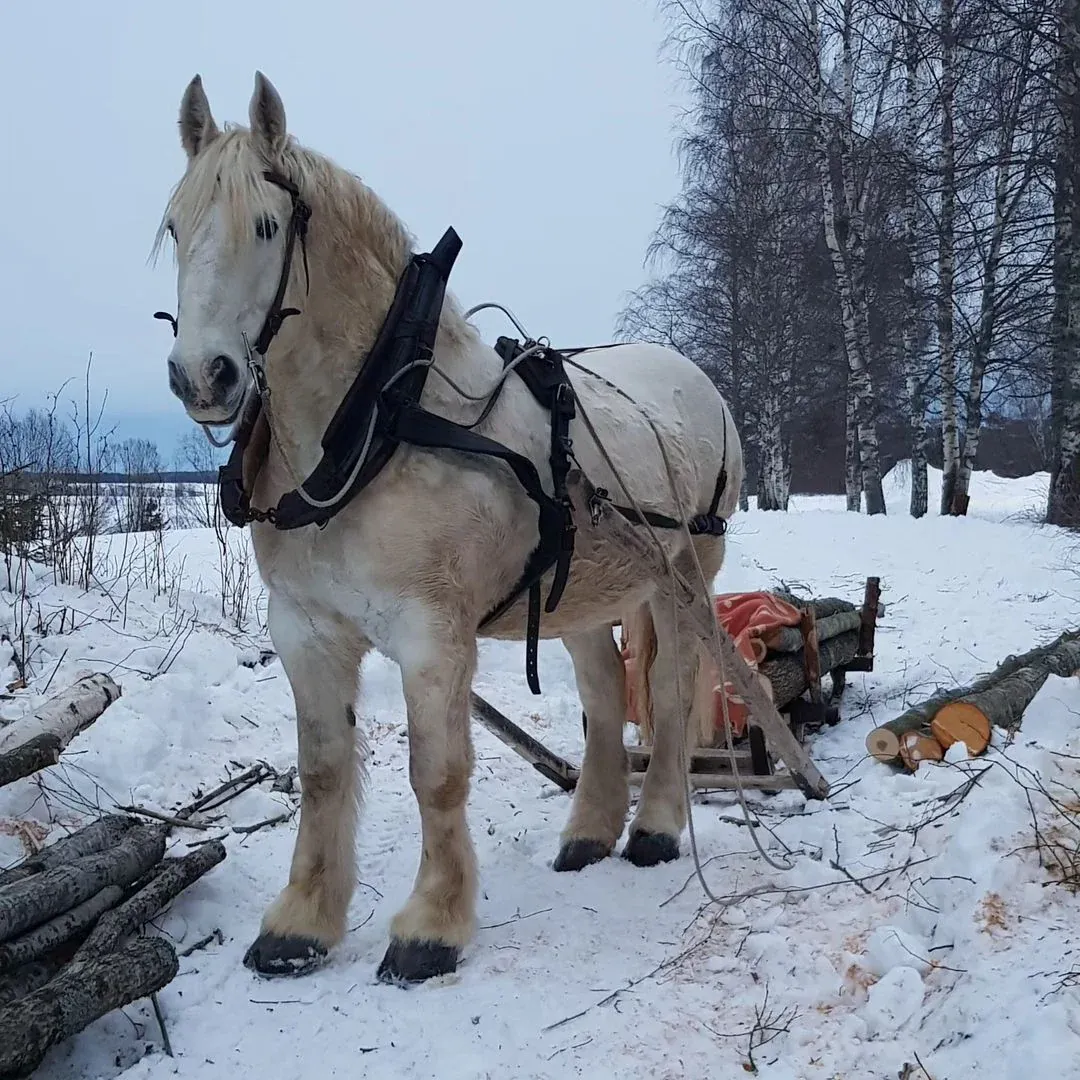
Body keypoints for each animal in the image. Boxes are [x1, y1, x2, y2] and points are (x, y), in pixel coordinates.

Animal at [156, 70, 744, 984]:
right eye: (175, 225)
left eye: (266, 225)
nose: (202, 377)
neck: (377, 423)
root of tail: (691, 375)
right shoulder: (304, 629)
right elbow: (322, 770)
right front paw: (300, 925)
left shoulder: (432, 634)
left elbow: (436, 773)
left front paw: (431, 928)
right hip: (577, 589)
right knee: (605, 695)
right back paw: (588, 831)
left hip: (688, 571)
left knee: (675, 690)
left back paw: (652, 828)